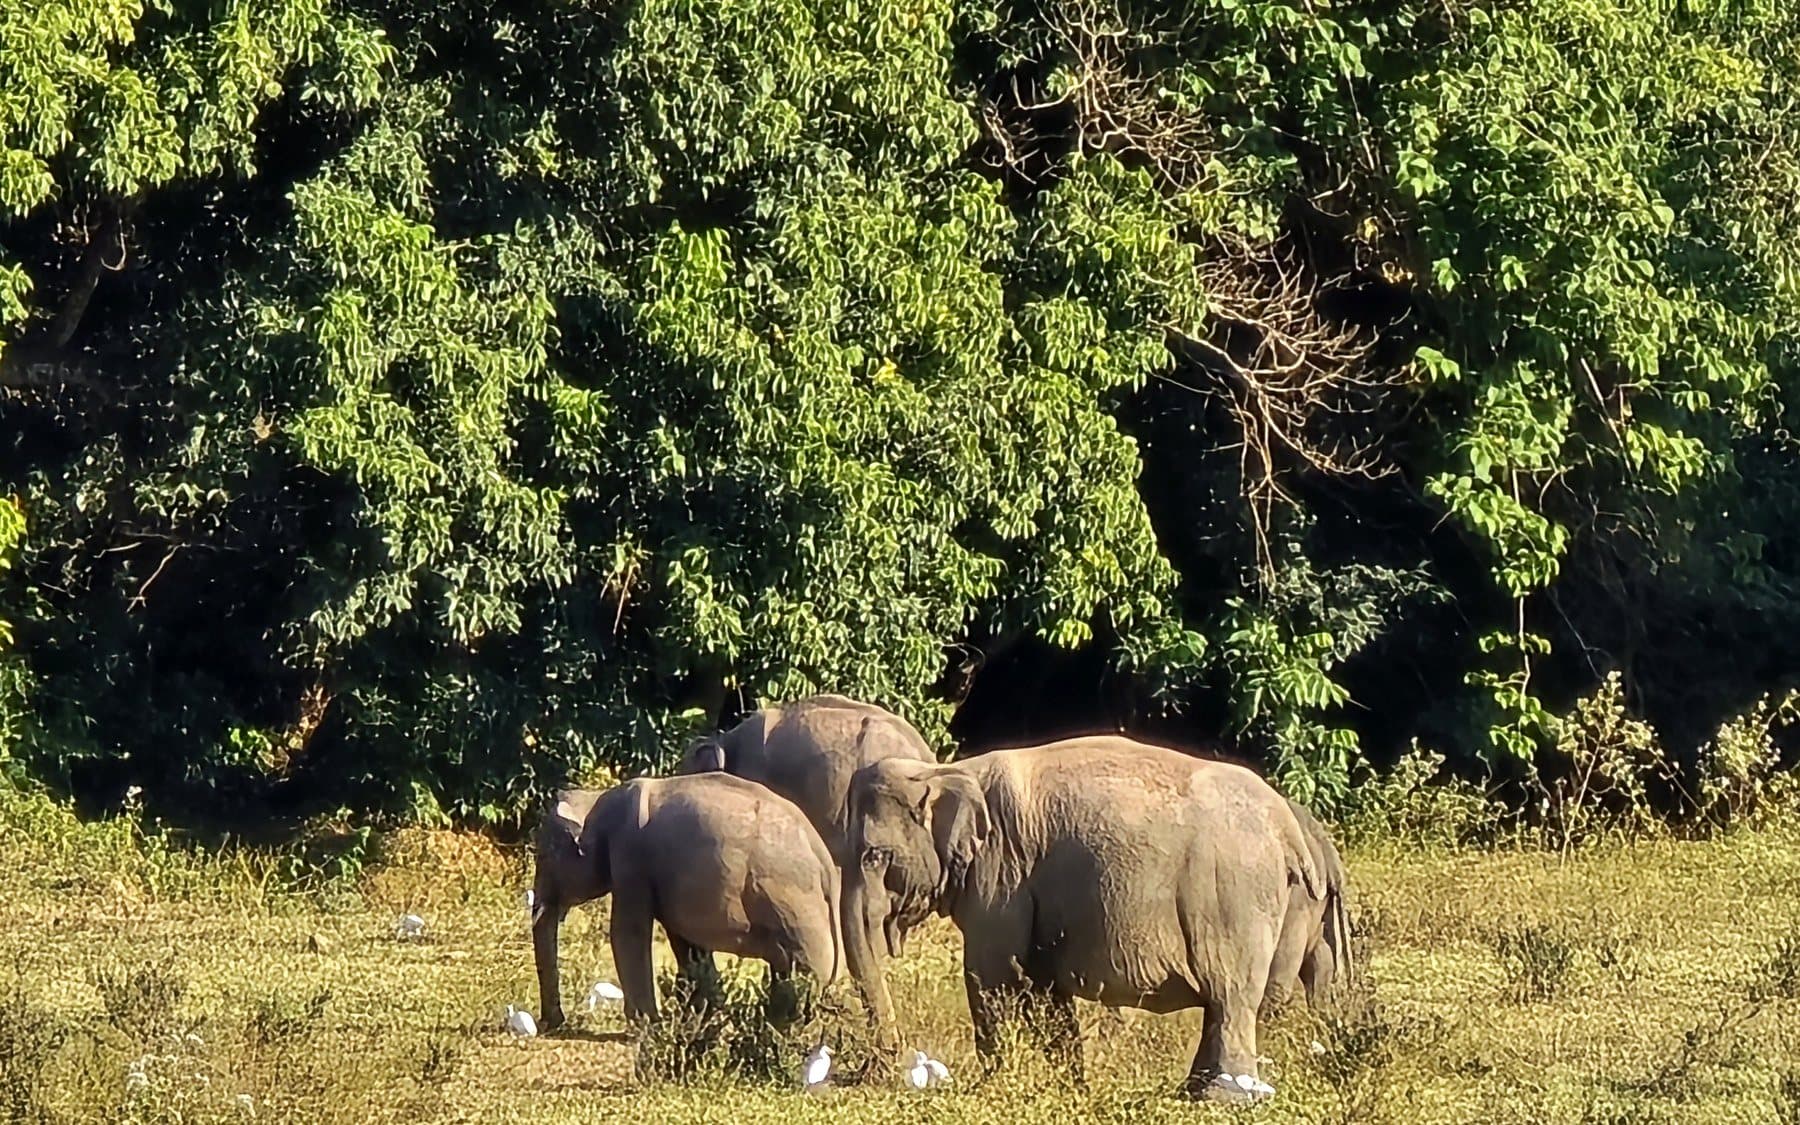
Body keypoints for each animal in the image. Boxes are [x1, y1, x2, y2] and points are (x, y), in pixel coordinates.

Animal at [530, 773, 843, 1032]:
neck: (597, 799)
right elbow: (685, 941)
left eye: (543, 856)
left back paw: (784, 1026)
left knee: (803, 966)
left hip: (794, 903)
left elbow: (628, 931)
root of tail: (826, 863)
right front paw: (700, 1015)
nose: (551, 1024)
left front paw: (647, 1024)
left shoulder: (631, 857)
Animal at [841, 735, 1323, 1102]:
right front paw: (1071, 1088)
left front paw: (987, 1088)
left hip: (1232, 898)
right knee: (1224, 1005)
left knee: (1230, 995)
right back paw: (1191, 1092)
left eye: (874, 856)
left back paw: (1222, 1099)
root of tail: (1288, 828)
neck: (944, 771)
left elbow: (990, 974)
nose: (885, 1067)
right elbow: (1042, 987)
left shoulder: (1001, 872)